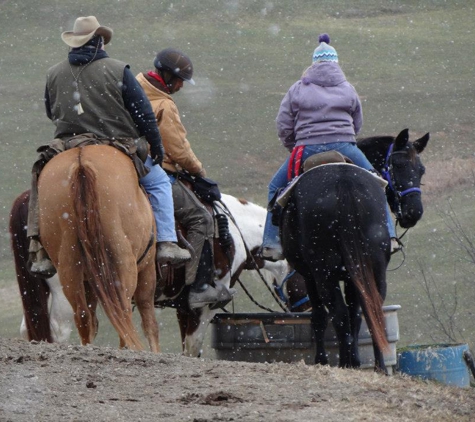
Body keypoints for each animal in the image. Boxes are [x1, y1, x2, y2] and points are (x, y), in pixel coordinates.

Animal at [37, 145, 160, 352]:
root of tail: (81, 164)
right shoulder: (147, 267)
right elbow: (149, 319)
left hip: (69, 263)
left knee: (83, 315)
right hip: (123, 262)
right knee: (123, 311)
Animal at [280, 129, 430, 372]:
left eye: (420, 170)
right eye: (397, 165)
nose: (414, 211)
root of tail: (343, 182)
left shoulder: (309, 275)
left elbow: (322, 316)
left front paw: (324, 360)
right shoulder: (354, 274)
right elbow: (356, 314)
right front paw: (358, 360)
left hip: (324, 273)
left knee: (337, 313)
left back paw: (343, 363)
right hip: (374, 267)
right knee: (373, 308)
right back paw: (379, 366)